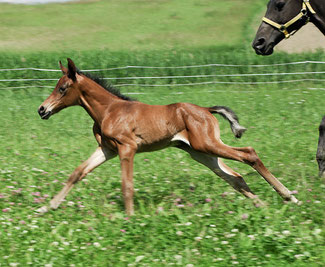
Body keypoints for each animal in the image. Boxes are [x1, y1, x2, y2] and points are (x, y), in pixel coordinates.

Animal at [36, 58, 298, 216]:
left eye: (62, 88)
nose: (42, 109)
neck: (109, 110)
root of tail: (206, 110)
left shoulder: (127, 148)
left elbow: (127, 185)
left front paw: (129, 218)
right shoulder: (107, 150)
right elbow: (77, 173)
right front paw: (47, 208)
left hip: (208, 144)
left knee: (249, 154)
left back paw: (289, 197)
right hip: (201, 153)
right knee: (235, 177)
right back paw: (264, 206)